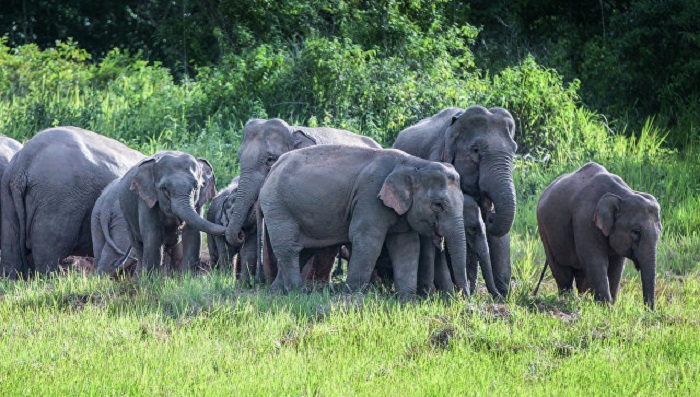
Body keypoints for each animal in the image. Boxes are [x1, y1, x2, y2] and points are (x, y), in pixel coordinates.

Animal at [260, 144, 468, 296]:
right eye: (438, 205)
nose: (463, 298)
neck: (414, 162)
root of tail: (273, 167)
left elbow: (407, 246)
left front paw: (406, 299)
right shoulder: (370, 197)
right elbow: (367, 239)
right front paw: (352, 293)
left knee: (303, 250)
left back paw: (277, 292)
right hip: (278, 206)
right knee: (290, 248)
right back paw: (297, 292)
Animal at [536, 162, 660, 310]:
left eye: (659, 233)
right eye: (636, 232)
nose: (650, 311)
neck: (623, 194)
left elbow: (616, 266)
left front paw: (610, 305)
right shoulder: (585, 221)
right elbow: (596, 261)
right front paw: (607, 308)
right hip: (544, 231)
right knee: (561, 270)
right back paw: (568, 300)